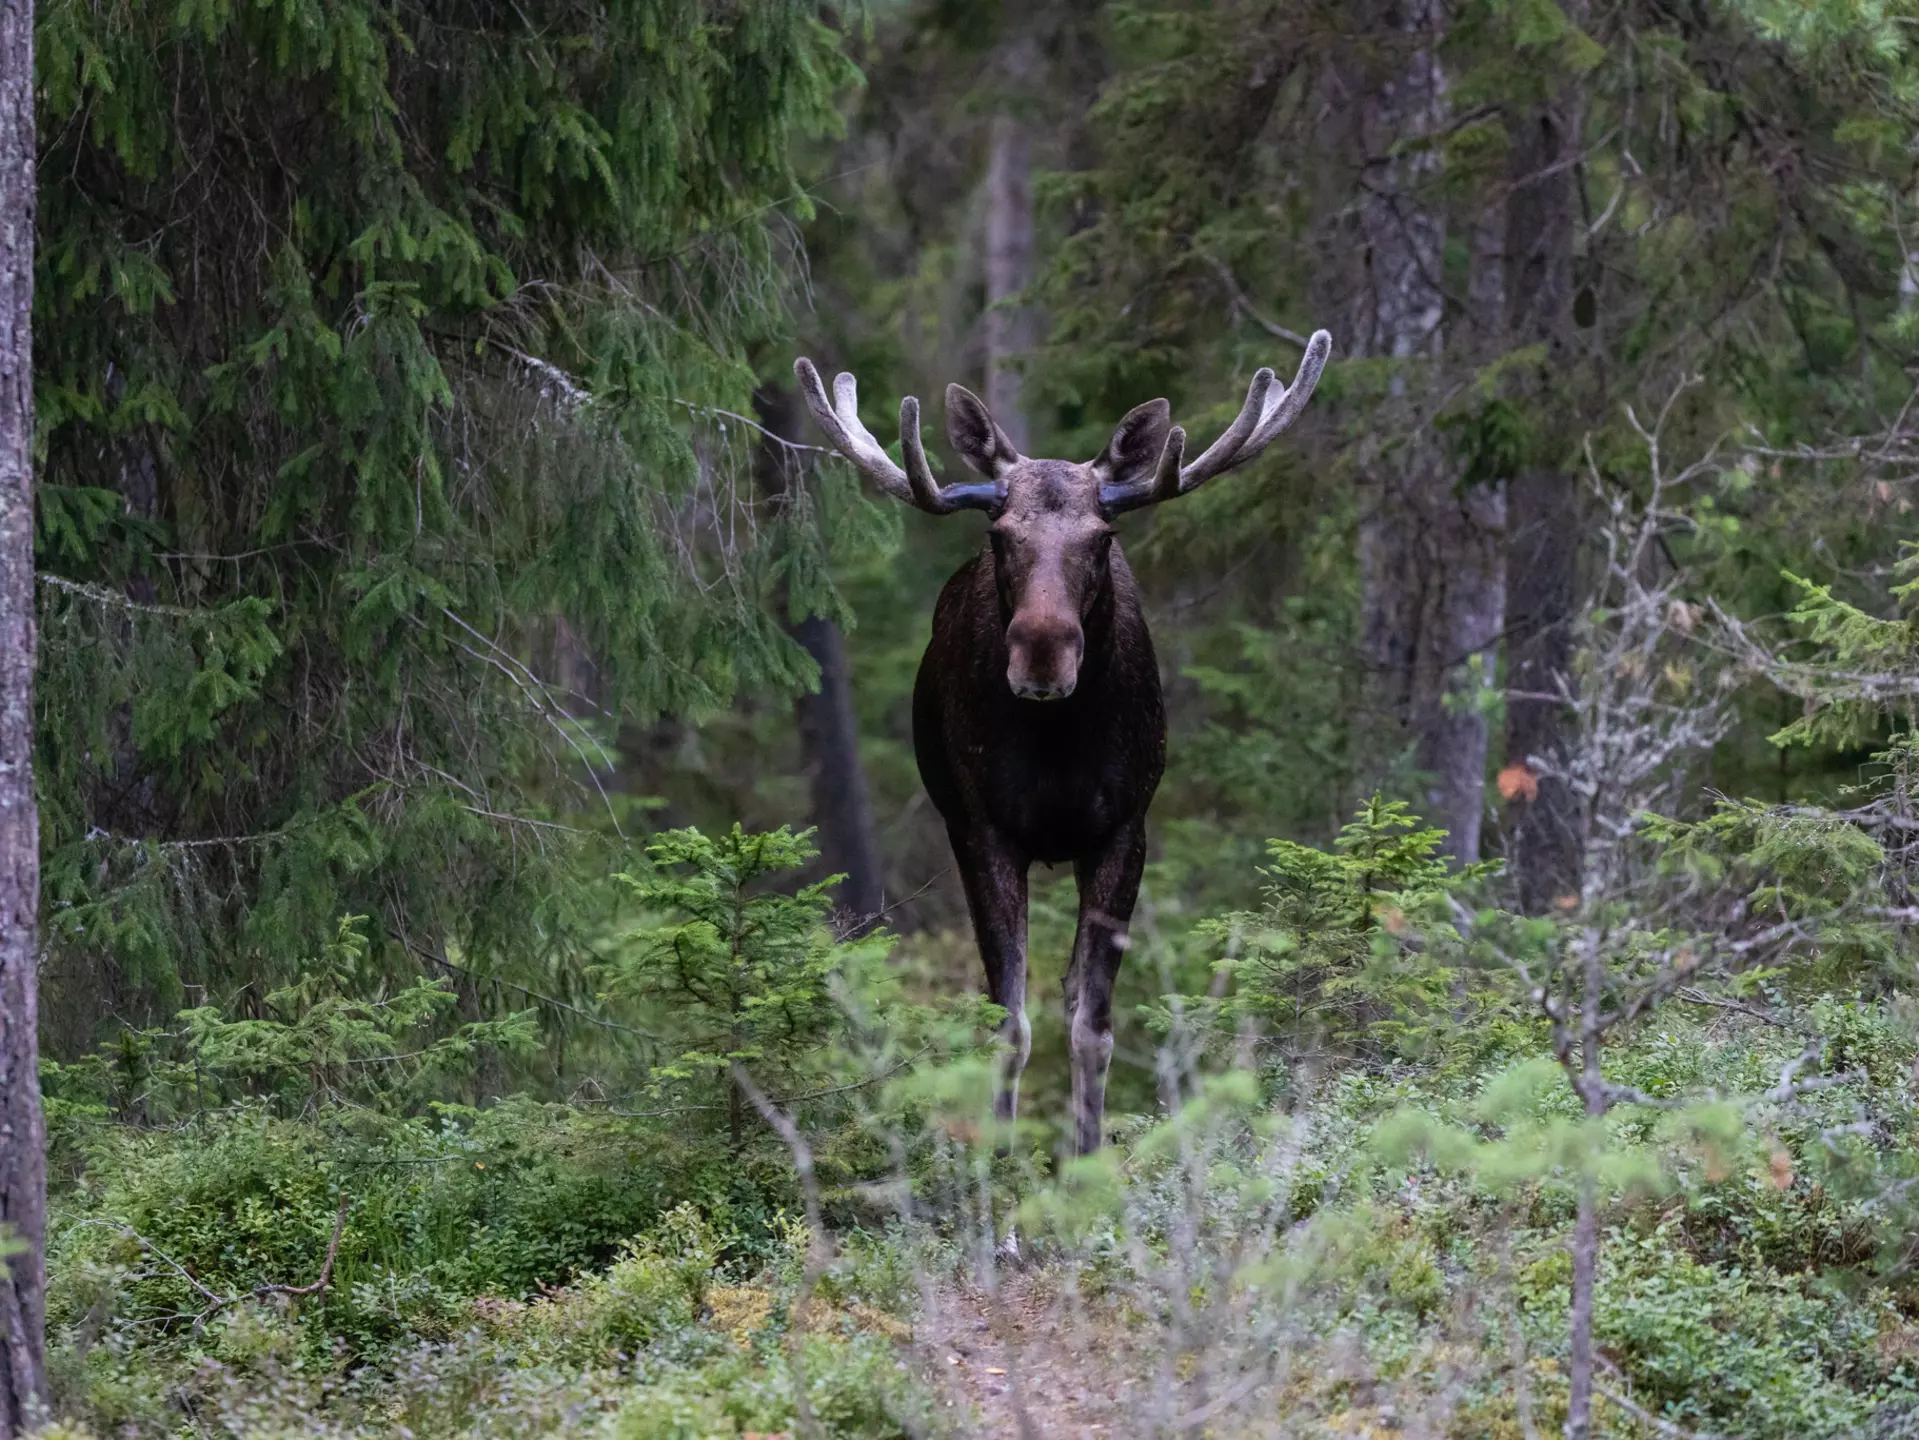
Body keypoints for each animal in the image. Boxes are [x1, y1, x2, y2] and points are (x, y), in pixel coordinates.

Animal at [794, 331, 1331, 1158]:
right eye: (998, 535)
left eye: (1102, 537)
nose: (1042, 654)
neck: (1055, 751)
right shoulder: (981, 830)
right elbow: (1006, 1022)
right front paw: (1000, 1167)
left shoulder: (1123, 828)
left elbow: (1092, 1023)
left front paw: (1084, 1160)